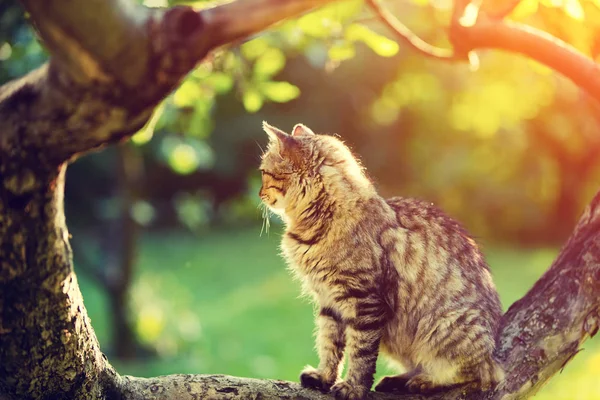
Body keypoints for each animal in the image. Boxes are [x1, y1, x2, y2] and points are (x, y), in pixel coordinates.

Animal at [258, 122, 502, 400]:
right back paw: (397, 381)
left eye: (264, 173)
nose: (260, 193)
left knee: (475, 373)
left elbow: (360, 354)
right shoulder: (329, 302)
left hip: (443, 327)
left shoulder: (365, 301)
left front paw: (353, 387)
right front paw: (324, 377)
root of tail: (494, 351)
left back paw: (424, 381)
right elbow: (329, 345)